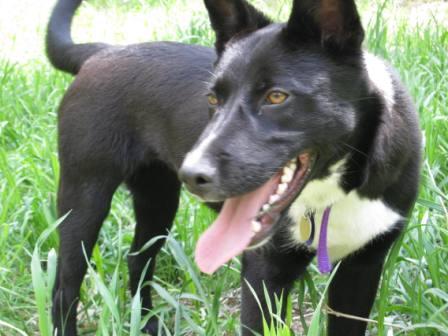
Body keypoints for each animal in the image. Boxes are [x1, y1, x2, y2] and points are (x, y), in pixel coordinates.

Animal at [48, 0, 420, 336]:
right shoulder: (265, 272)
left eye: (276, 97)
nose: (191, 174)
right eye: (212, 99)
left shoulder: (363, 267)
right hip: (84, 198)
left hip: (158, 199)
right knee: (64, 286)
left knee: (138, 259)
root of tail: (103, 51)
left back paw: (149, 325)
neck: (333, 195)